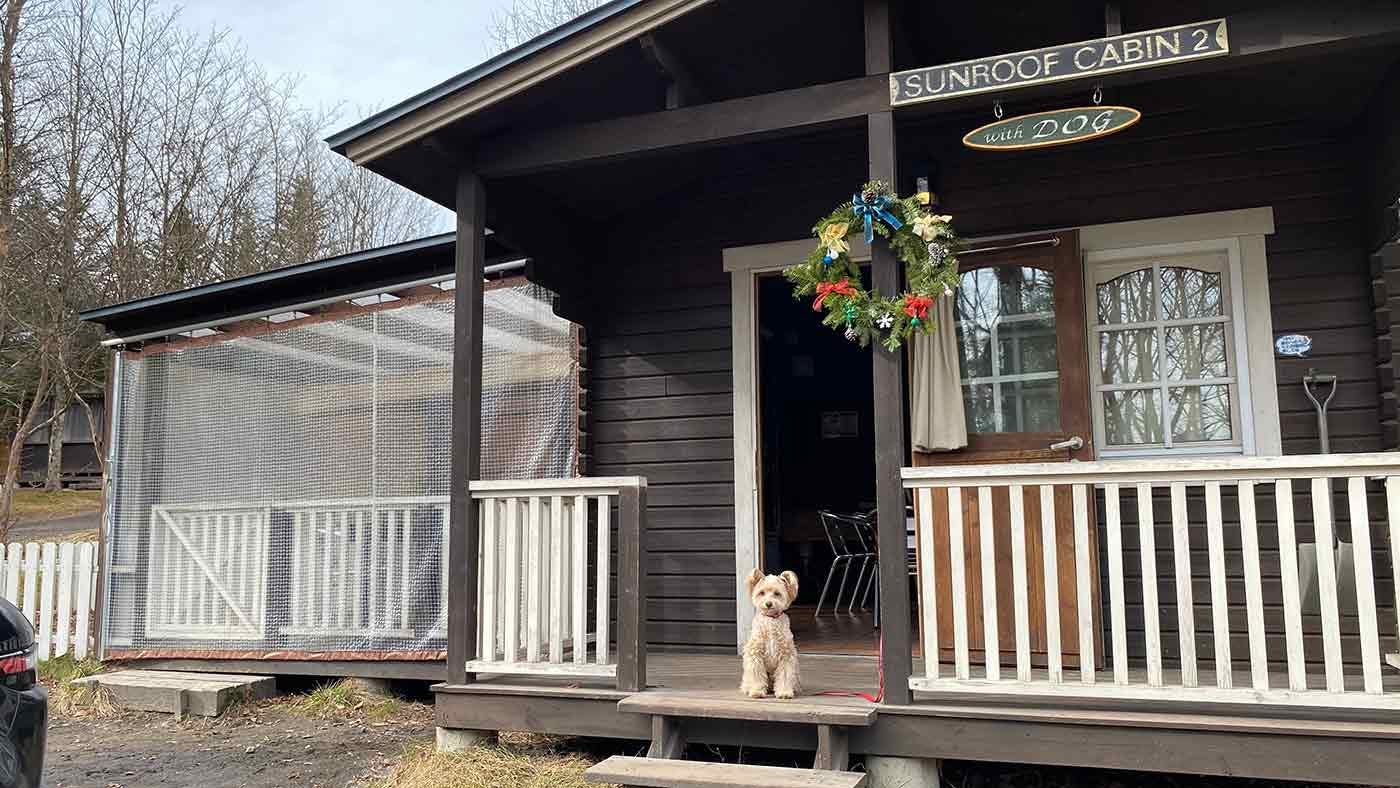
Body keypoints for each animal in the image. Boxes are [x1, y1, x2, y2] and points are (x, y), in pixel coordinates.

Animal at [739, 571, 806, 699]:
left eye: (777, 593)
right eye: (762, 593)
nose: (768, 603)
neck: (771, 620)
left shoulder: (786, 656)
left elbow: (784, 676)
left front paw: (784, 692)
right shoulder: (755, 655)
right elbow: (757, 676)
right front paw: (757, 691)